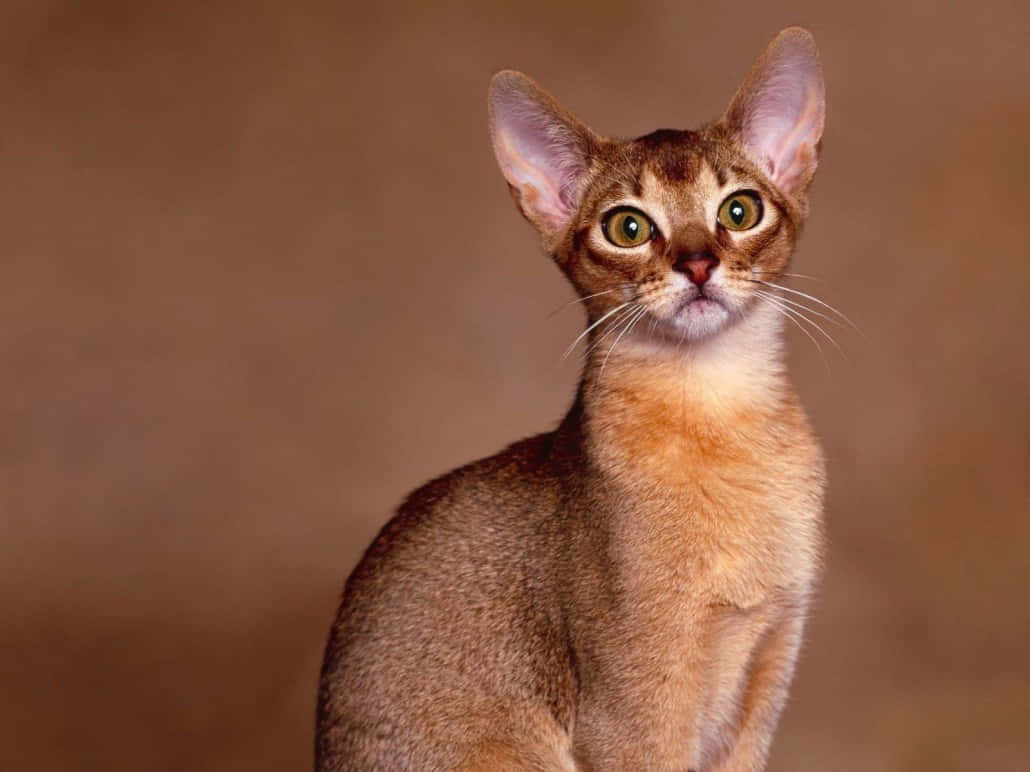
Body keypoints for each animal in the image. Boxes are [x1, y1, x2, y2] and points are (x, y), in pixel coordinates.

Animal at [317, 25, 824, 772]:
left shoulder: (768, 669)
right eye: (628, 228)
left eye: (740, 210)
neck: (719, 423)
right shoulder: (633, 714)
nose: (698, 264)